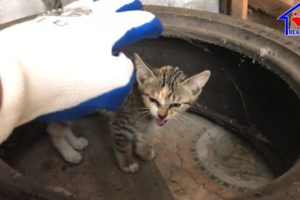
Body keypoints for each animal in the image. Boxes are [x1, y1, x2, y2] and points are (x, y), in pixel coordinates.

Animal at [47, 54, 211, 173]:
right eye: (153, 100)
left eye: (175, 105)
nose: (162, 115)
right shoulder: (120, 123)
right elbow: (123, 146)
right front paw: (127, 163)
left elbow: (142, 136)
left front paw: (142, 150)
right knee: (53, 129)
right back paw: (69, 153)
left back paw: (76, 142)